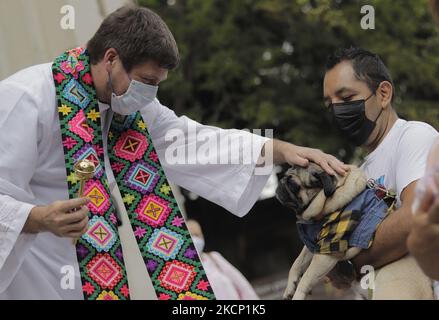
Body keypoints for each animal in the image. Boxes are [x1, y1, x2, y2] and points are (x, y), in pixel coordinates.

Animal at [276, 164, 434, 302]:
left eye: (293, 185)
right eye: (285, 176)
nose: (281, 183)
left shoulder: (326, 252)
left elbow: (306, 277)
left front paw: (298, 294)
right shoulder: (314, 244)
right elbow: (297, 263)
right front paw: (290, 287)